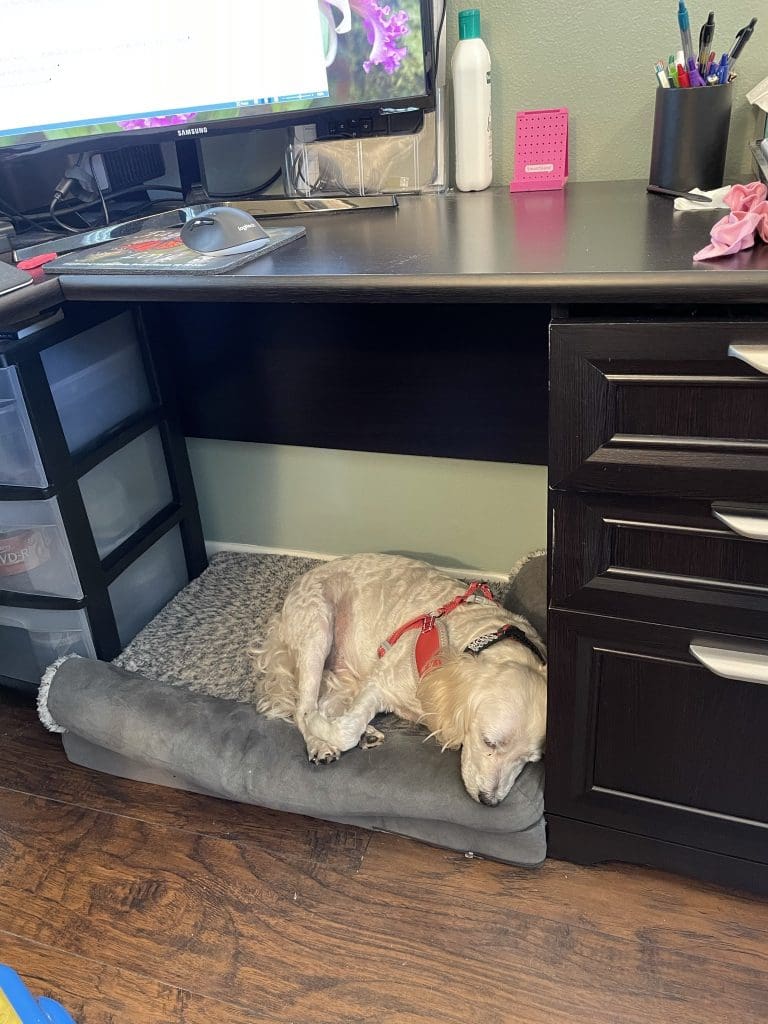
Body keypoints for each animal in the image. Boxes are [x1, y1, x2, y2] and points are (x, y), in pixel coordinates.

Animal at [252, 557, 548, 802]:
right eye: (489, 742)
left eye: (530, 760)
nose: (489, 801)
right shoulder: (381, 681)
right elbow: (343, 731)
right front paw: (323, 730)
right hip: (317, 628)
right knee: (303, 706)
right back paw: (320, 742)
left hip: (345, 671)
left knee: (326, 701)